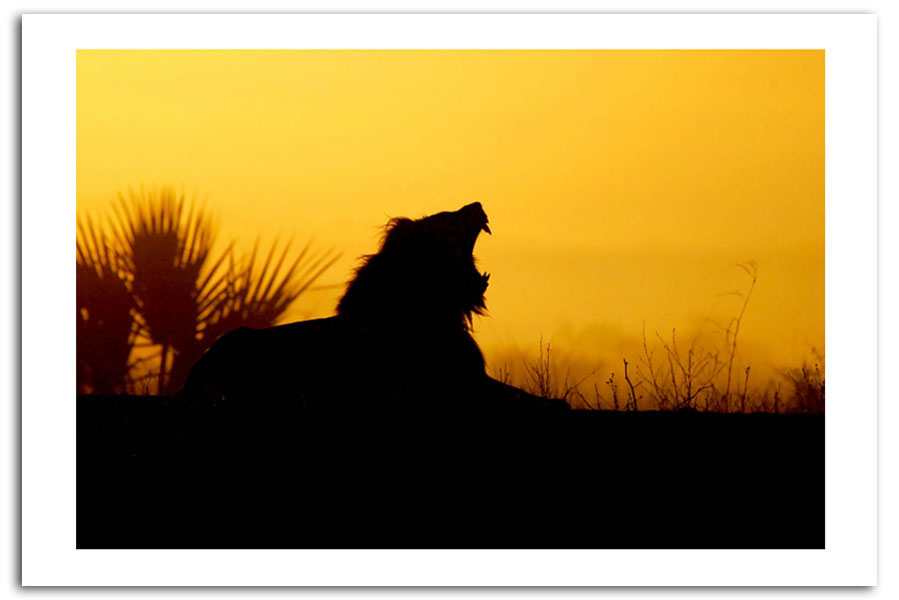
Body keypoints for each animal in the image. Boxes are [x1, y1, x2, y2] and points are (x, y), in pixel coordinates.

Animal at [175, 202, 566, 420]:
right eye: (447, 219)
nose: (478, 204)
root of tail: (191, 378)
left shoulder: (469, 378)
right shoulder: (450, 386)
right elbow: (529, 402)